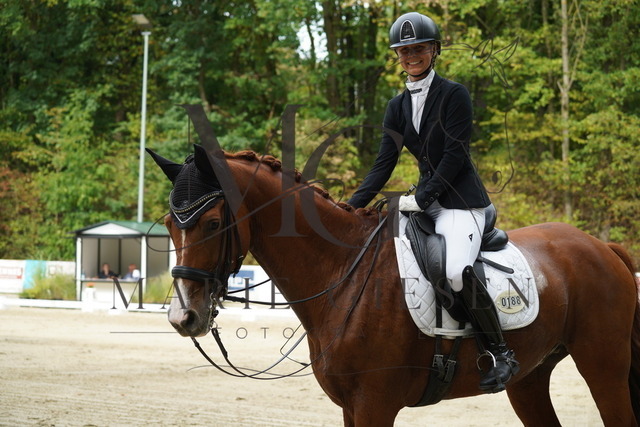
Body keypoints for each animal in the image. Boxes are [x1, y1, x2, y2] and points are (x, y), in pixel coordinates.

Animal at [148, 145, 640, 426]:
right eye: (171, 224)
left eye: (213, 223)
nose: (183, 316)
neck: (341, 273)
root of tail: (601, 246)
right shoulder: (350, 407)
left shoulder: (374, 404)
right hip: (531, 378)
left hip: (603, 368)